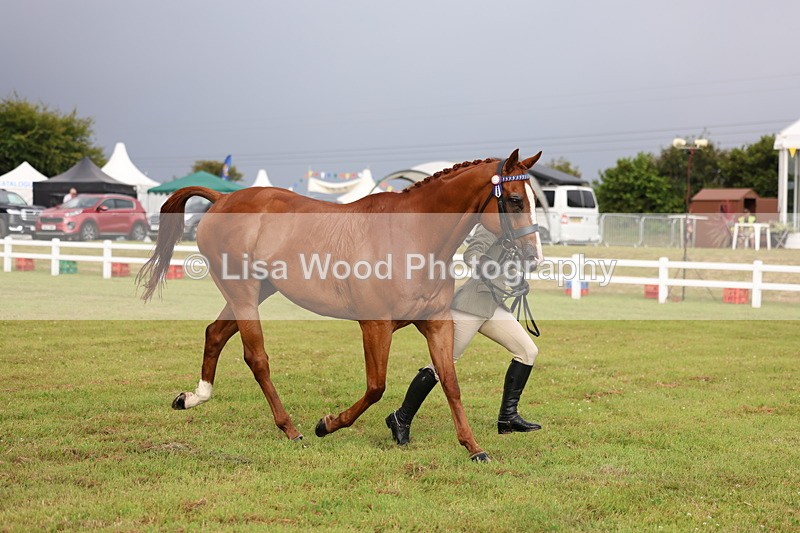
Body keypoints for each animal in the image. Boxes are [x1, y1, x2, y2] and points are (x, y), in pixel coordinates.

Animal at [137, 149, 543, 461]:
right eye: (515, 200)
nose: (533, 257)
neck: (414, 236)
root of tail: (222, 199)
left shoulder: (438, 324)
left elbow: (450, 383)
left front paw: (474, 448)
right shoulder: (375, 326)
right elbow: (376, 387)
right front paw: (327, 424)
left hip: (256, 292)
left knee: (216, 333)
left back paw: (193, 398)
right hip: (243, 293)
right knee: (256, 358)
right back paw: (291, 429)